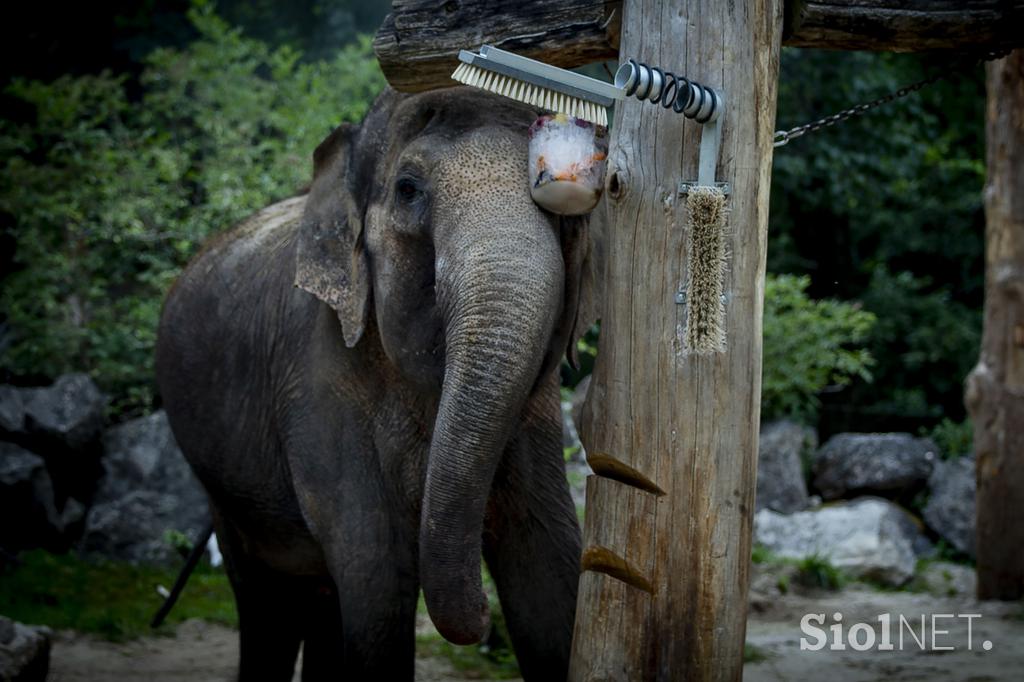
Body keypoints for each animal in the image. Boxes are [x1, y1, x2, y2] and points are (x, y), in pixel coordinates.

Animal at [153, 86, 598, 679]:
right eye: (408, 190)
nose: (483, 622)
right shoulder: (315, 380)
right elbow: (379, 581)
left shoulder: (537, 412)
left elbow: (549, 574)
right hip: (222, 487)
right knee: (266, 600)